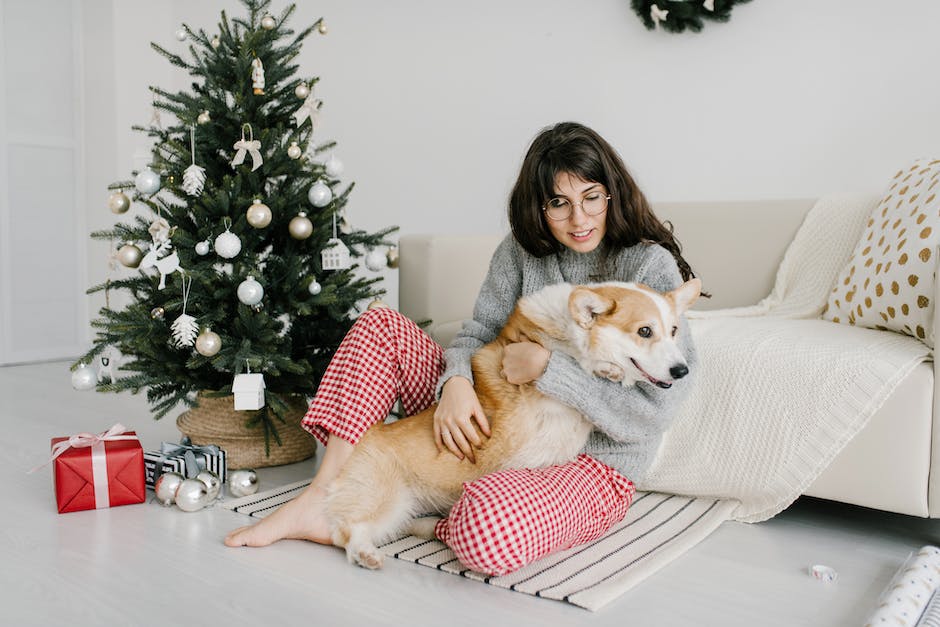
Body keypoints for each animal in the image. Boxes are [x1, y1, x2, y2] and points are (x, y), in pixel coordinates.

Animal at [324, 278, 696, 568]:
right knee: (344, 530)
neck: (565, 326)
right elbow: (572, 364)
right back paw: (365, 553)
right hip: (386, 497)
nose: (682, 371)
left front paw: (605, 368)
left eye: (674, 331)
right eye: (644, 331)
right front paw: (603, 366)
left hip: (404, 511)